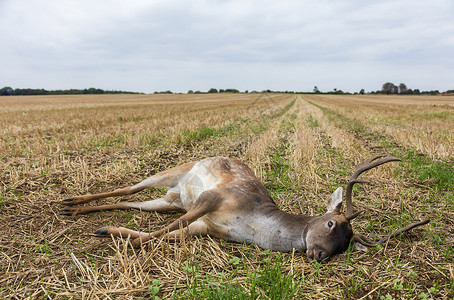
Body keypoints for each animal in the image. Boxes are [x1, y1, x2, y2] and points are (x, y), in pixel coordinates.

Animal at [61, 156, 430, 262]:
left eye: (347, 244)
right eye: (331, 224)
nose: (320, 255)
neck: (251, 224)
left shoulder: (207, 229)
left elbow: (169, 233)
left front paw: (114, 236)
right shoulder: (213, 197)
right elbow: (165, 231)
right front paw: (122, 249)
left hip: (168, 199)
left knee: (135, 203)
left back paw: (80, 215)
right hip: (176, 173)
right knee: (129, 187)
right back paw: (70, 202)